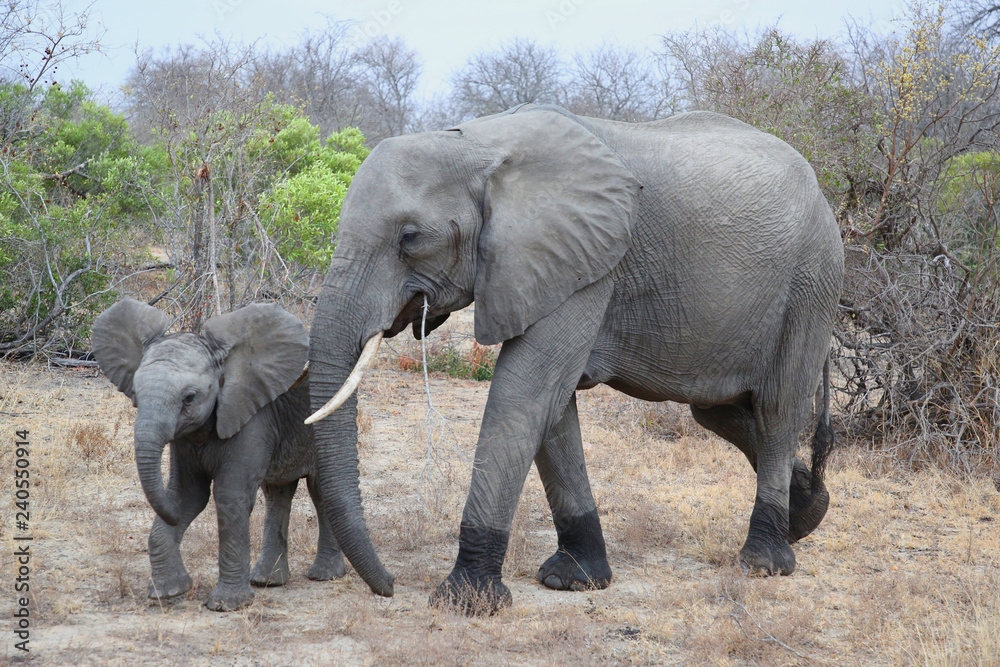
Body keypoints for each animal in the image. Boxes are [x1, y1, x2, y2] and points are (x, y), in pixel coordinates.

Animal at [91, 299, 346, 611]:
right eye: (135, 393)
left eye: (189, 398)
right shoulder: (185, 437)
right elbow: (187, 495)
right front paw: (168, 592)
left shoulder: (250, 418)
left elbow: (229, 495)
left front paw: (226, 605)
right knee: (277, 492)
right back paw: (267, 581)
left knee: (321, 489)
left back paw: (325, 575)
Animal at [304, 104, 844, 614]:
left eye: (411, 238)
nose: (390, 586)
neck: (480, 143)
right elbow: (553, 408)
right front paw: (574, 580)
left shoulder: (589, 261)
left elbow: (526, 391)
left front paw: (467, 600)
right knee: (718, 410)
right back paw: (807, 513)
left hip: (811, 280)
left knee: (778, 408)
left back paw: (765, 562)